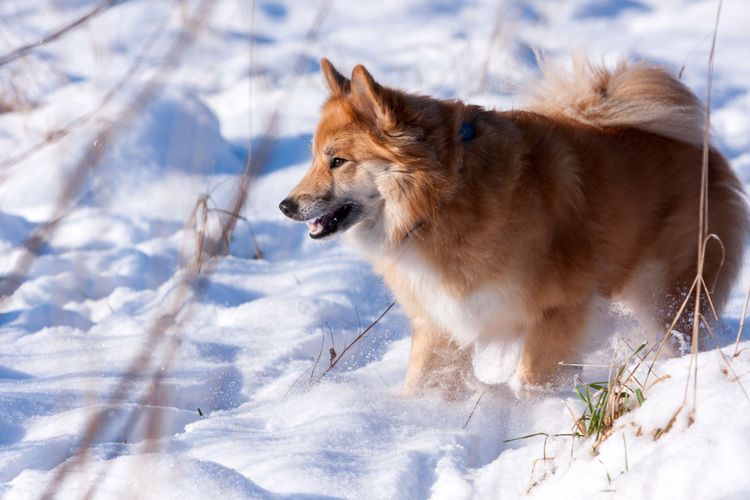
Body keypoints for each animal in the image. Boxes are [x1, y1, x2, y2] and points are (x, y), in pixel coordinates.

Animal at [280, 56, 748, 396]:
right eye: (314, 157)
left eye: (337, 160)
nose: (285, 205)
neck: (443, 197)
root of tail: (702, 150)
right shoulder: (441, 323)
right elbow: (424, 382)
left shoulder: (559, 310)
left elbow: (531, 382)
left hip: (666, 294)